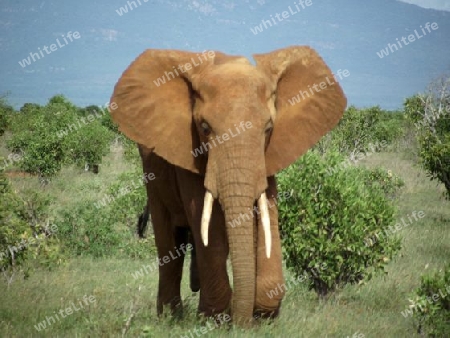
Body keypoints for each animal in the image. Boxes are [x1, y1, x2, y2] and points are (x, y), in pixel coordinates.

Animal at [110, 46, 348, 326]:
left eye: (268, 129)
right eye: (204, 128)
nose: (241, 324)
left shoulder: (266, 158)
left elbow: (267, 212)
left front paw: (261, 317)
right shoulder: (188, 151)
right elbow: (207, 224)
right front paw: (215, 318)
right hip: (151, 174)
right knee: (169, 242)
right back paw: (171, 318)